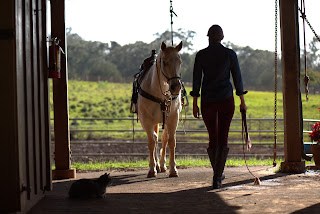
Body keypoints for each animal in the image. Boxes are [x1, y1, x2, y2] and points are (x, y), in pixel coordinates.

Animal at [138, 41, 182, 177]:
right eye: (165, 62)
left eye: (180, 62)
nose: (176, 87)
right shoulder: (146, 120)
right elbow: (151, 142)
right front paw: (152, 169)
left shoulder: (173, 118)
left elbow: (171, 141)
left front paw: (173, 169)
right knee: (155, 138)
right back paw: (157, 165)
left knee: (162, 138)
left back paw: (162, 165)